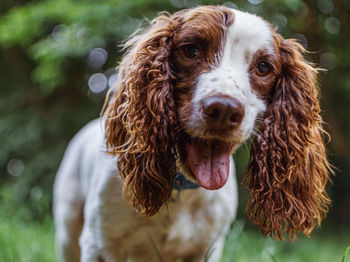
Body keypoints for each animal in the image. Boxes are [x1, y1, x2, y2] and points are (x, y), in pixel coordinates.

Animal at [52, 5, 330, 260]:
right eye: (191, 50)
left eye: (263, 67)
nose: (224, 109)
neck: (181, 189)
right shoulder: (99, 243)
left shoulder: (208, 248)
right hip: (68, 231)